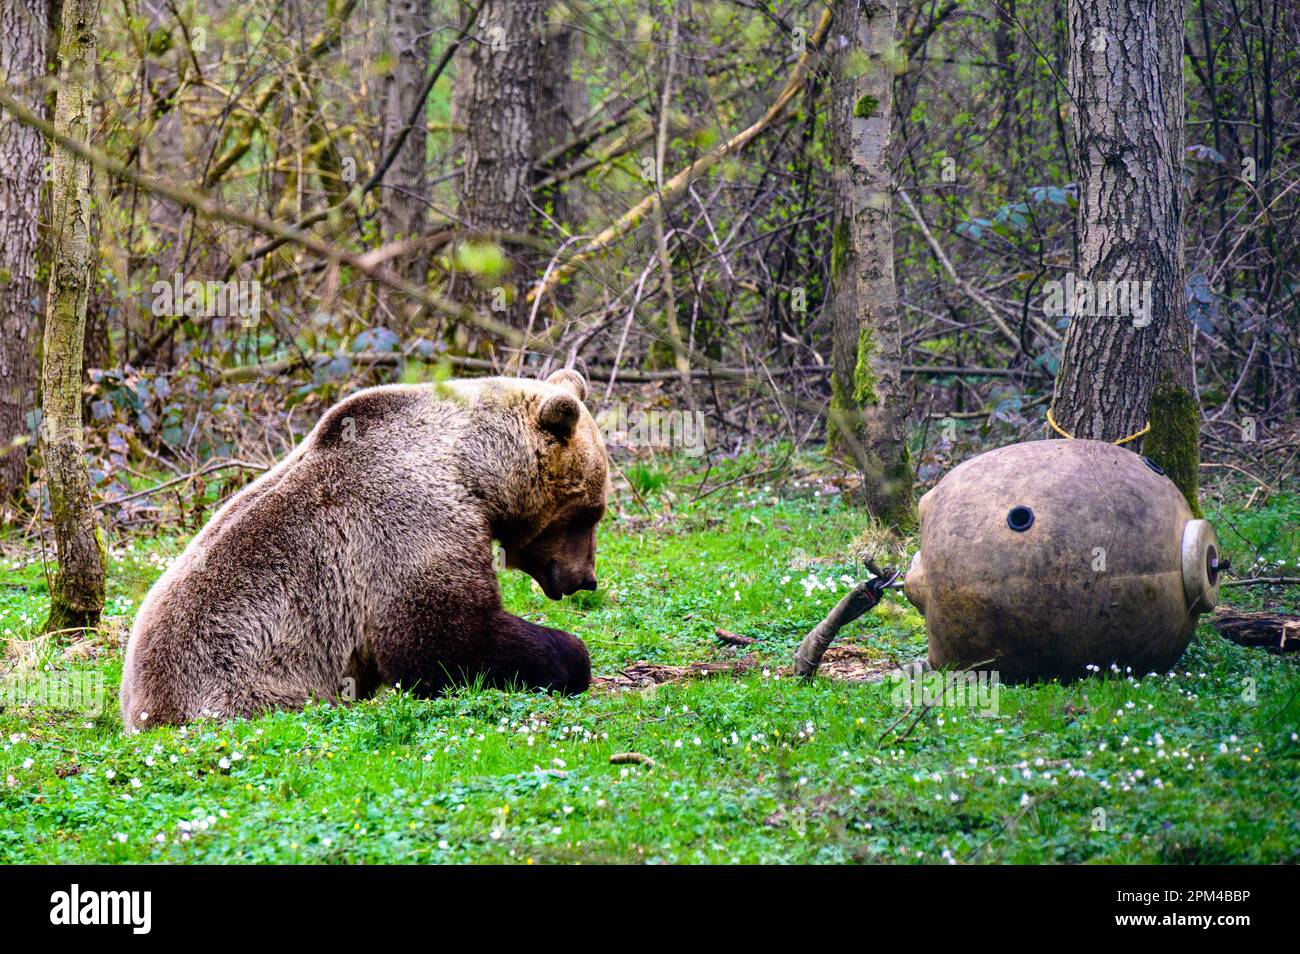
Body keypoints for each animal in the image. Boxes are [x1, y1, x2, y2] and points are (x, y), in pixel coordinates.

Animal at [119, 369, 608, 731]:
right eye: (590, 513)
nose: (586, 578)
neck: (471, 470)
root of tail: (142, 709)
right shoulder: (406, 522)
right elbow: (442, 638)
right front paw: (570, 654)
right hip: (249, 687)